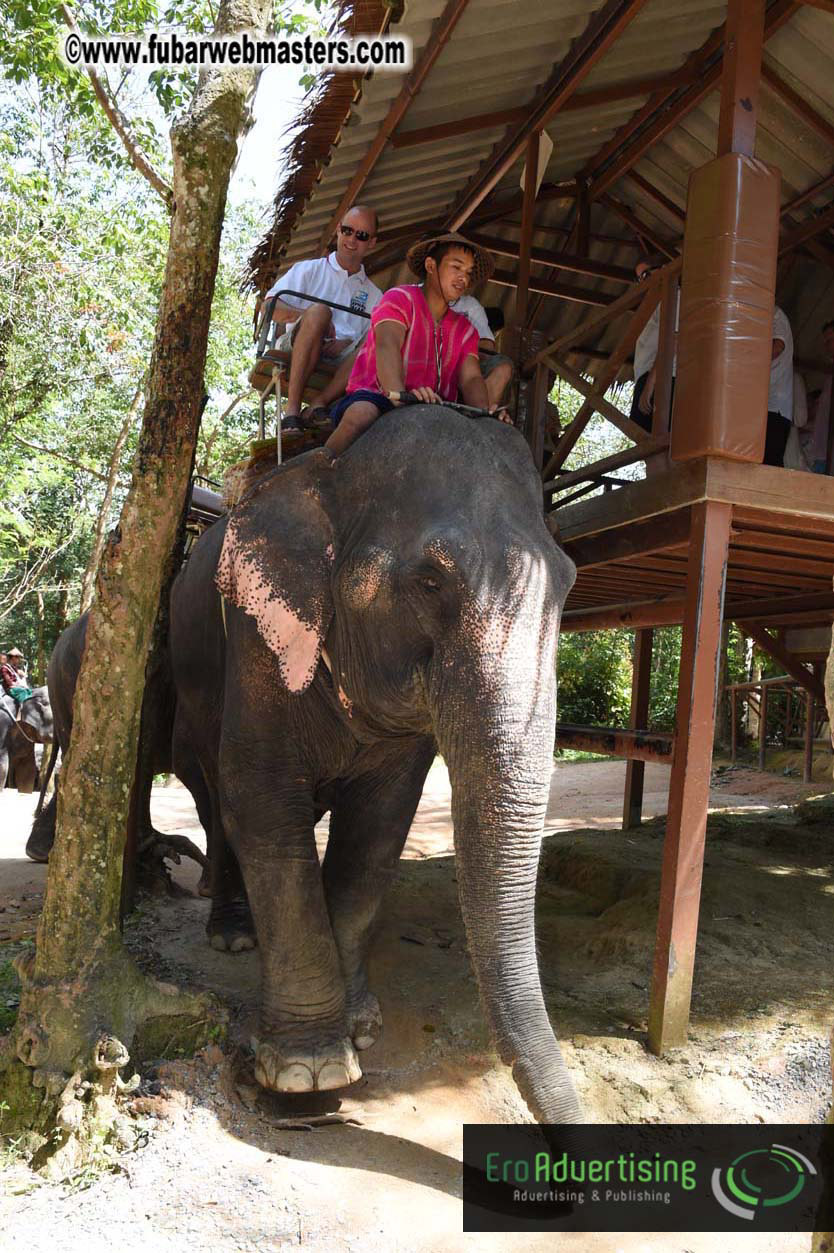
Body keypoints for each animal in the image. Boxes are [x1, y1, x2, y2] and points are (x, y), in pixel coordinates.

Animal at [169, 405, 581, 1124]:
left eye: (568, 583)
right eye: (430, 581)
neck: (334, 472)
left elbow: (379, 827)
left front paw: (359, 1026)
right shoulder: (257, 640)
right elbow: (265, 808)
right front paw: (309, 1071)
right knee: (220, 801)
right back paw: (233, 935)